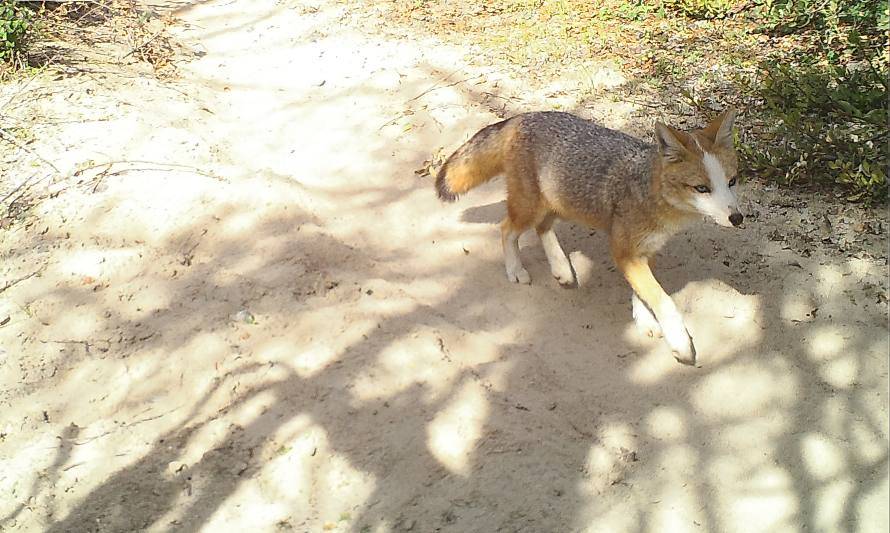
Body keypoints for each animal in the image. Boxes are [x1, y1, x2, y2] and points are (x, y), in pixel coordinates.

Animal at [434, 109, 740, 364]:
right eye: (702, 188)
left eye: (732, 182)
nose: (738, 218)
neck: (650, 191)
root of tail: (526, 116)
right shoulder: (624, 251)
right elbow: (662, 299)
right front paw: (680, 342)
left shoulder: (644, 251)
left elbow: (643, 292)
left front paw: (644, 320)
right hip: (531, 208)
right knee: (507, 228)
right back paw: (516, 270)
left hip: (557, 202)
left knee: (542, 228)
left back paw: (561, 267)